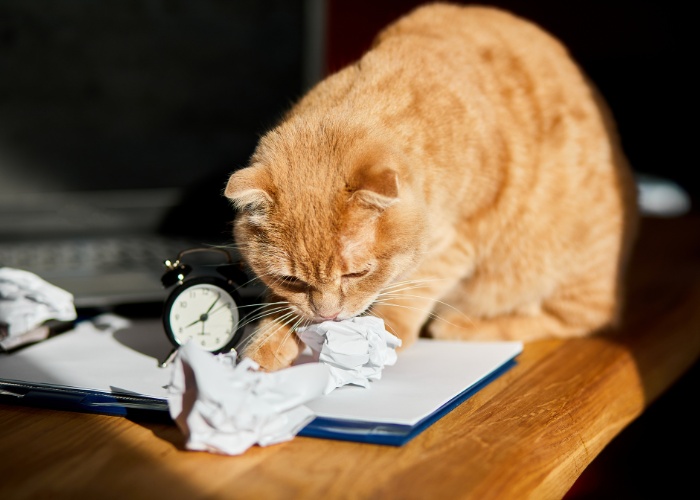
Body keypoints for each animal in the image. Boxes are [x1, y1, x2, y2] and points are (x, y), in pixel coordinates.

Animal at [224, 2, 640, 372]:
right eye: (290, 279)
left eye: (356, 275)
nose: (330, 315)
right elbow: (283, 310)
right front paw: (259, 352)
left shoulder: (459, 236)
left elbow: (415, 286)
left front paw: (382, 334)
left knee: (578, 317)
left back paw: (459, 326)